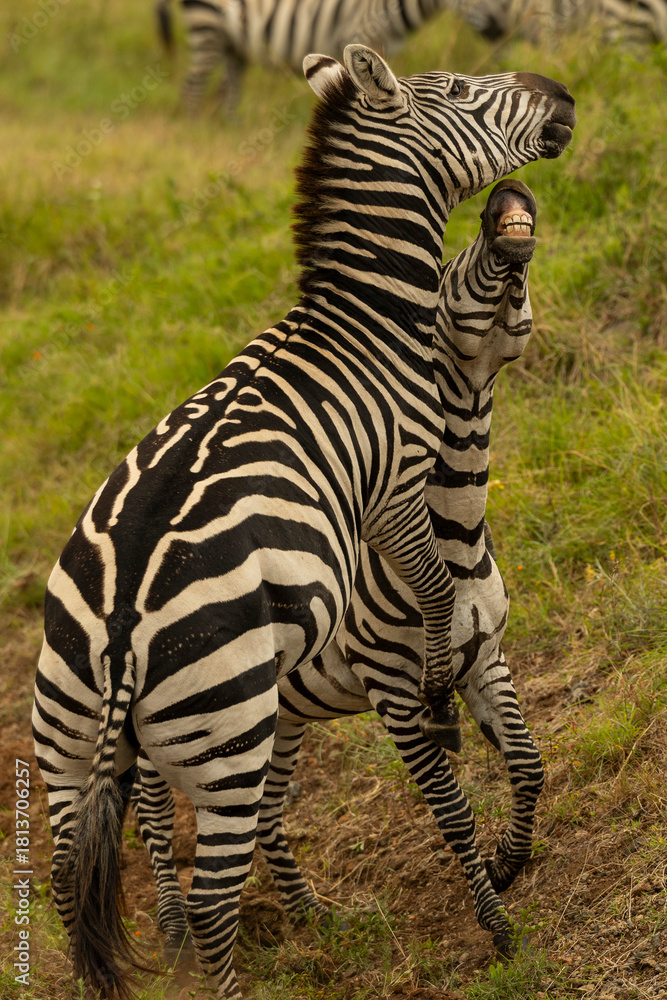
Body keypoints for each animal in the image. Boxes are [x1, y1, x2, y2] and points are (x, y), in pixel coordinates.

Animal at [130, 176, 544, 970]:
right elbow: (452, 813)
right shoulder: (395, 694)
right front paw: (499, 927)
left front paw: (510, 863)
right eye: (445, 273)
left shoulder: (486, 658)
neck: (453, 540)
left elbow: (529, 763)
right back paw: (173, 934)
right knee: (153, 810)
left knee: (263, 815)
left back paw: (311, 916)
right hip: (177, 727)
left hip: (278, 718)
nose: (506, 191)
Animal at [156, 0, 460, 113]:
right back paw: (195, 130)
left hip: (232, 43)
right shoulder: (360, 30)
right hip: (206, 25)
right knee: (192, 87)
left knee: (229, 90)